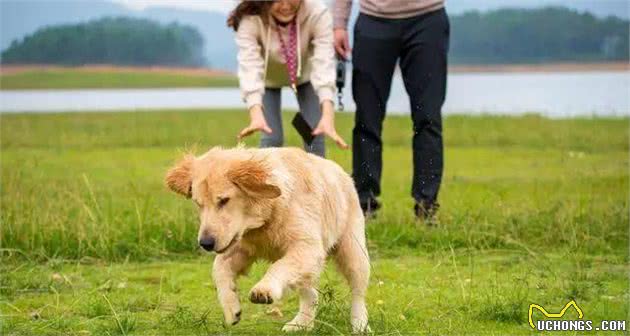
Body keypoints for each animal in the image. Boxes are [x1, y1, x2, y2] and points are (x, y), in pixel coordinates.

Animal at [165, 148, 370, 334]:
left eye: (224, 200)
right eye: (198, 204)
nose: (206, 243)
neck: (263, 221)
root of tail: (340, 171)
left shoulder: (307, 247)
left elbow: (278, 266)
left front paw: (264, 290)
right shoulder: (241, 246)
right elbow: (219, 267)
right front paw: (231, 309)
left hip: (353, 251)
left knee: (358, 291)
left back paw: (360, 324)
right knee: (310, 293)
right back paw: (301, 323)